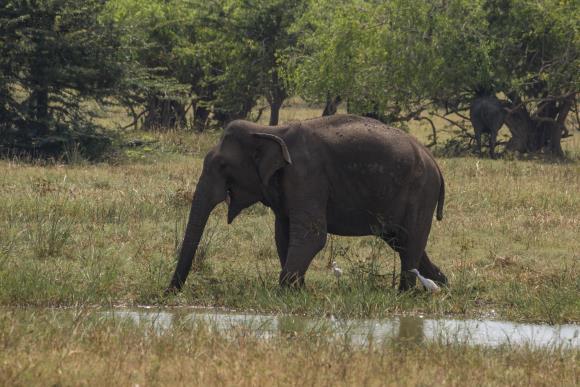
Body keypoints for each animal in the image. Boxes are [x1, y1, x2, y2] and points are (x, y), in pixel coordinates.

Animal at [168, 115, 448, 294]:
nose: (170, 292)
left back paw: (406, 294)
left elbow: (312, 235)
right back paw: (441, 285)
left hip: (421, 191)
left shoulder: (306, 175)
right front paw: (297, 290)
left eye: (223, 166)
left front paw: (283, 291)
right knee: (400, 241)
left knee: (410, 242)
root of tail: (434, 162)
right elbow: (283, 234)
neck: (270, 129)